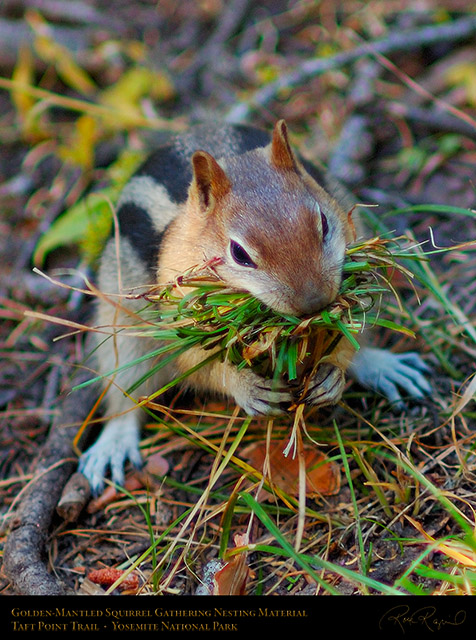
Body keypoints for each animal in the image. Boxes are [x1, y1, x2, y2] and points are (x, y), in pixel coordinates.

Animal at [79, 121, 432, 496]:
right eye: (239, 253)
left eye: (324, 223)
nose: (314, 303)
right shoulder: (175, 317)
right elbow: (197, 364)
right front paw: (246, 387)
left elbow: (346, 336)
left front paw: (331, 375)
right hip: (121, 330)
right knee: (124, 395)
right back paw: (113, 443)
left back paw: (383, 367)